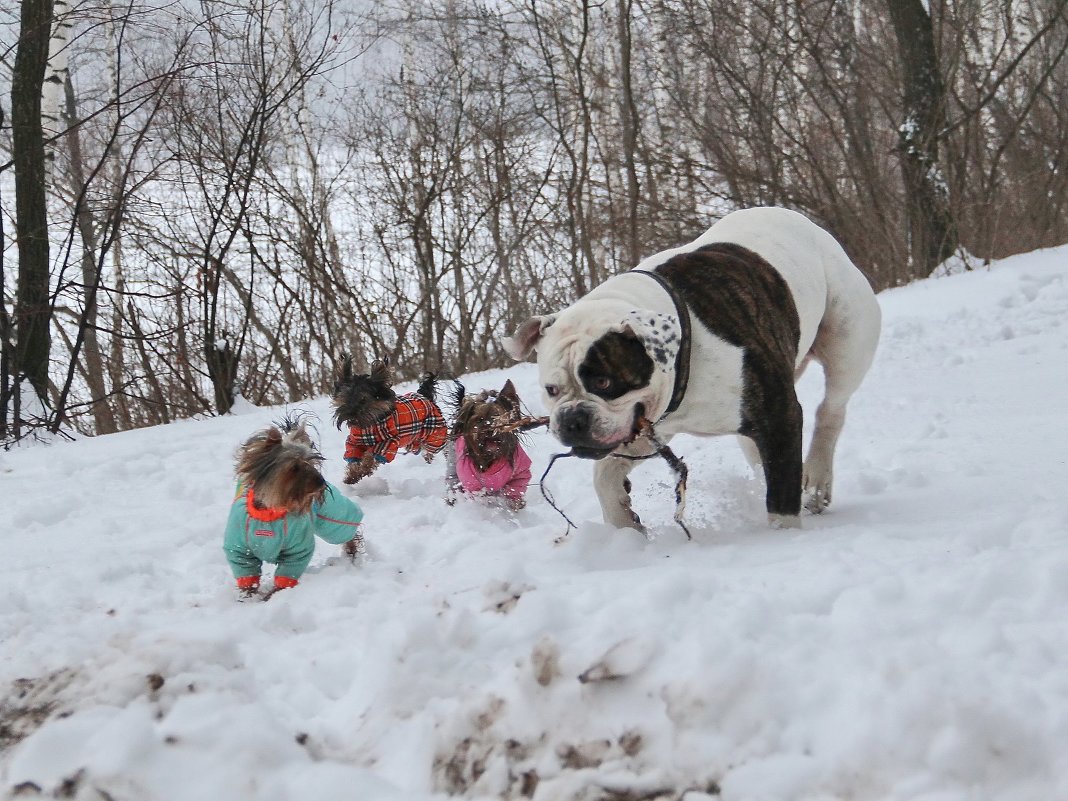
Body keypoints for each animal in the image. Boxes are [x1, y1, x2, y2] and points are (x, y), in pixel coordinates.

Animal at [450, 380, 534, 510]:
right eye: (479, 419)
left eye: (498, 416)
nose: (489, 428)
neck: (490, 457)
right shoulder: (471, 482)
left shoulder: (519, 474)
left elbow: (515, 490)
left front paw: (515, 505)